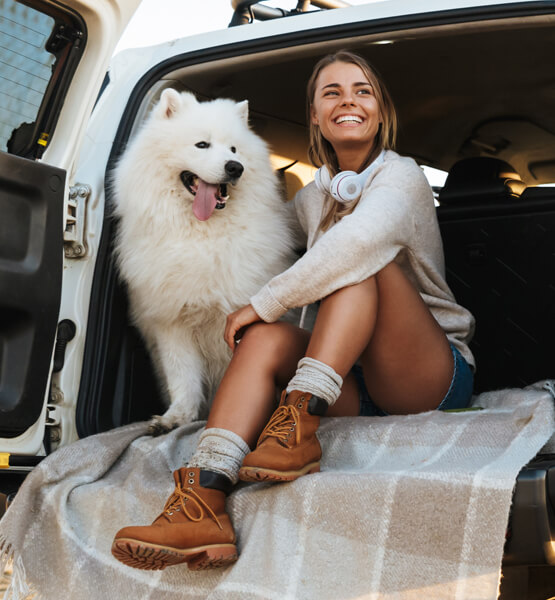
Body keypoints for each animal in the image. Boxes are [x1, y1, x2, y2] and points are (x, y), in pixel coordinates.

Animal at [111, 89, 298, 434]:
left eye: (234, 149)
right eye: (202, 145)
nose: (235, 167)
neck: (203, 235)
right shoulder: (172, 322)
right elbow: (183, 379)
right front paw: (176, 419)